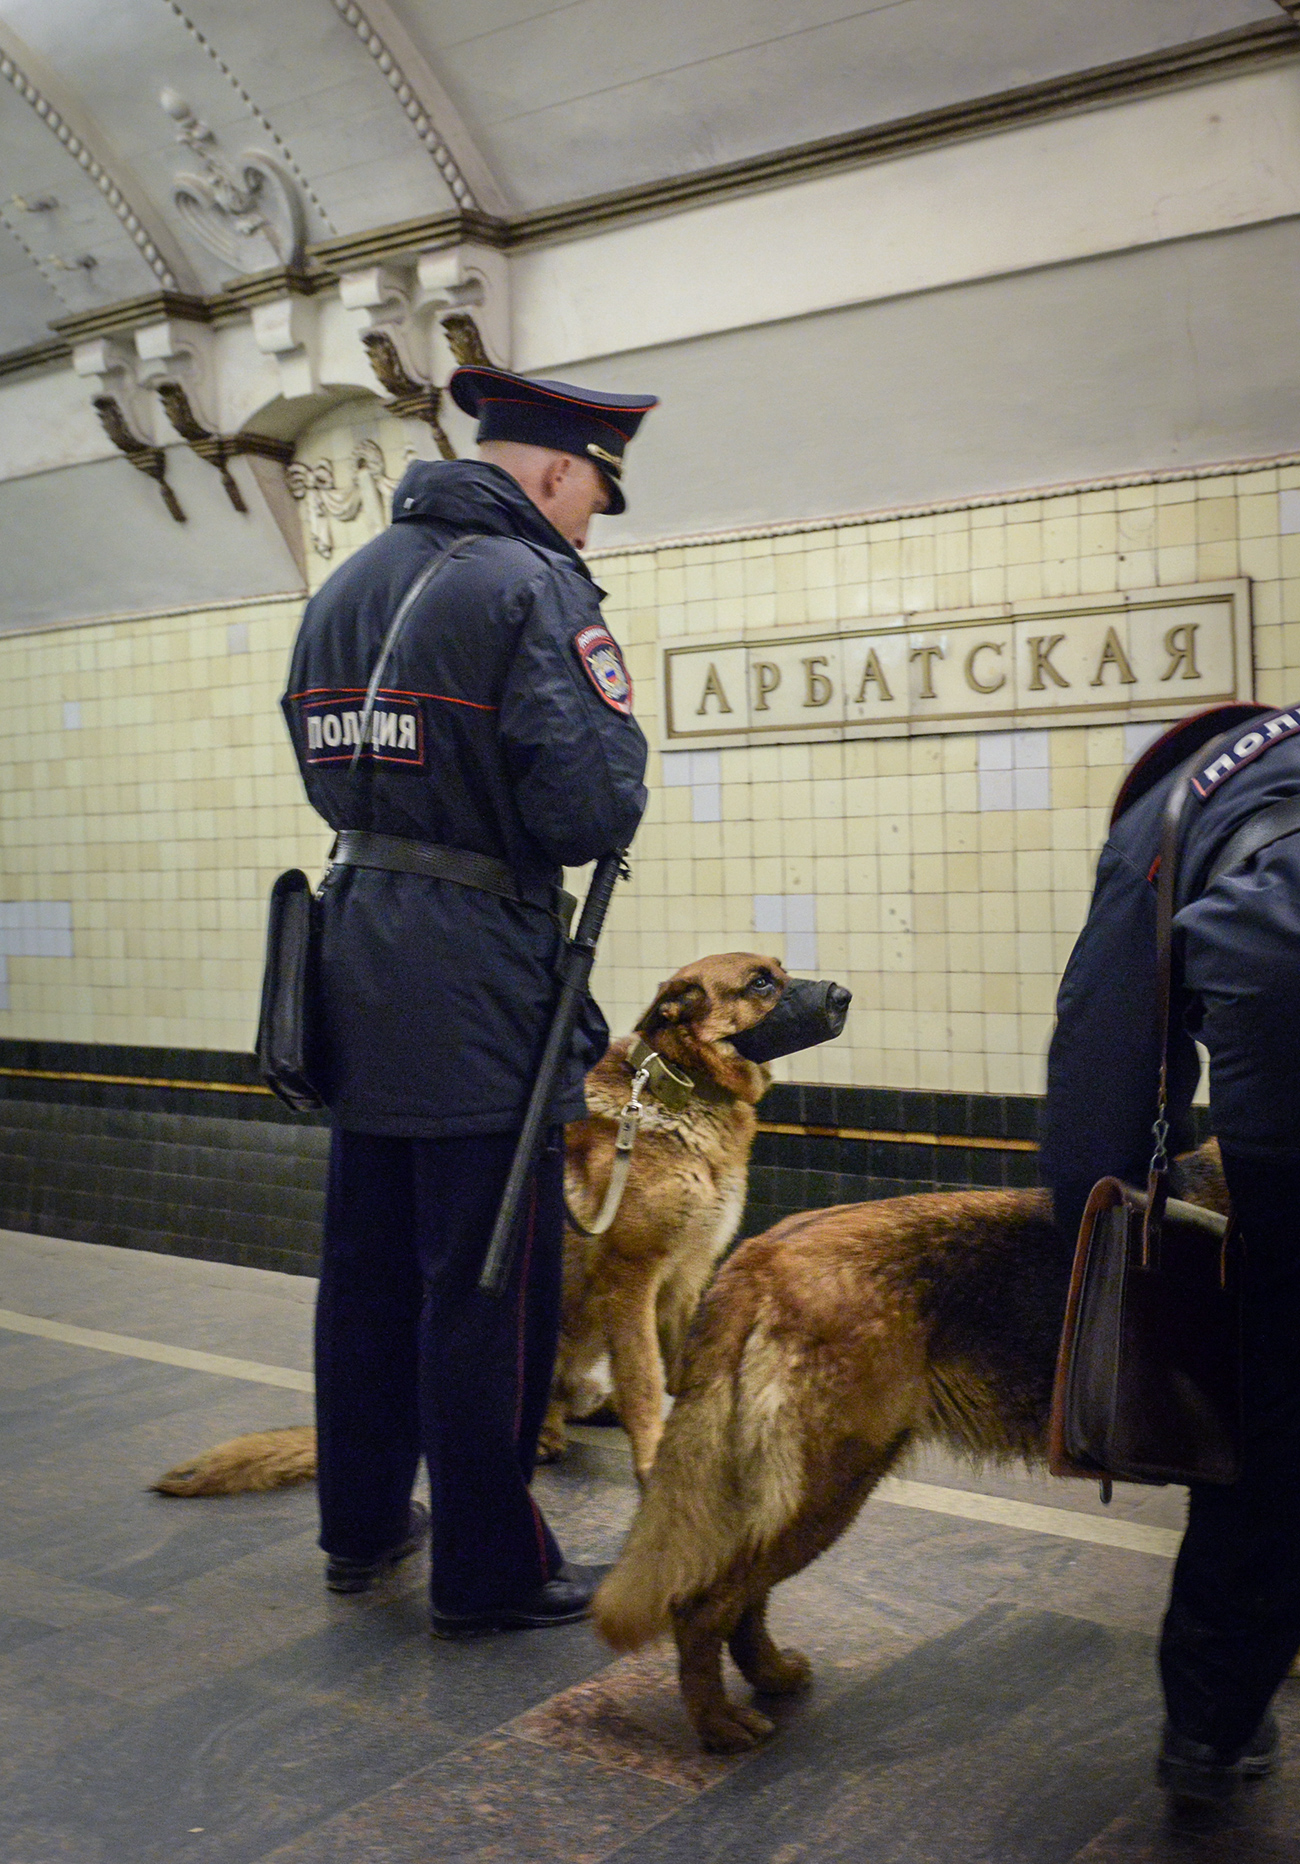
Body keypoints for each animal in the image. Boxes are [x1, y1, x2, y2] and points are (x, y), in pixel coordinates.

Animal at [152, 961, 779, 1498]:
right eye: (761, 982)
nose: (817, 985)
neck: (681, 1087)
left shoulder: (685, 1281)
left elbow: (684, 1372)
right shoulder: (633, 1282)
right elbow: (648, 1384)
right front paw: (654, 1465)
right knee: (551, 1408)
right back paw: (549, 1436)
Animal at [593, 1148, 1223, 1744]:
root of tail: (760, 1252)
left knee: (742, 1598)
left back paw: (770, 1676)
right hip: (829, 1489)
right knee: (702, 1606)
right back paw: (718, 1724)